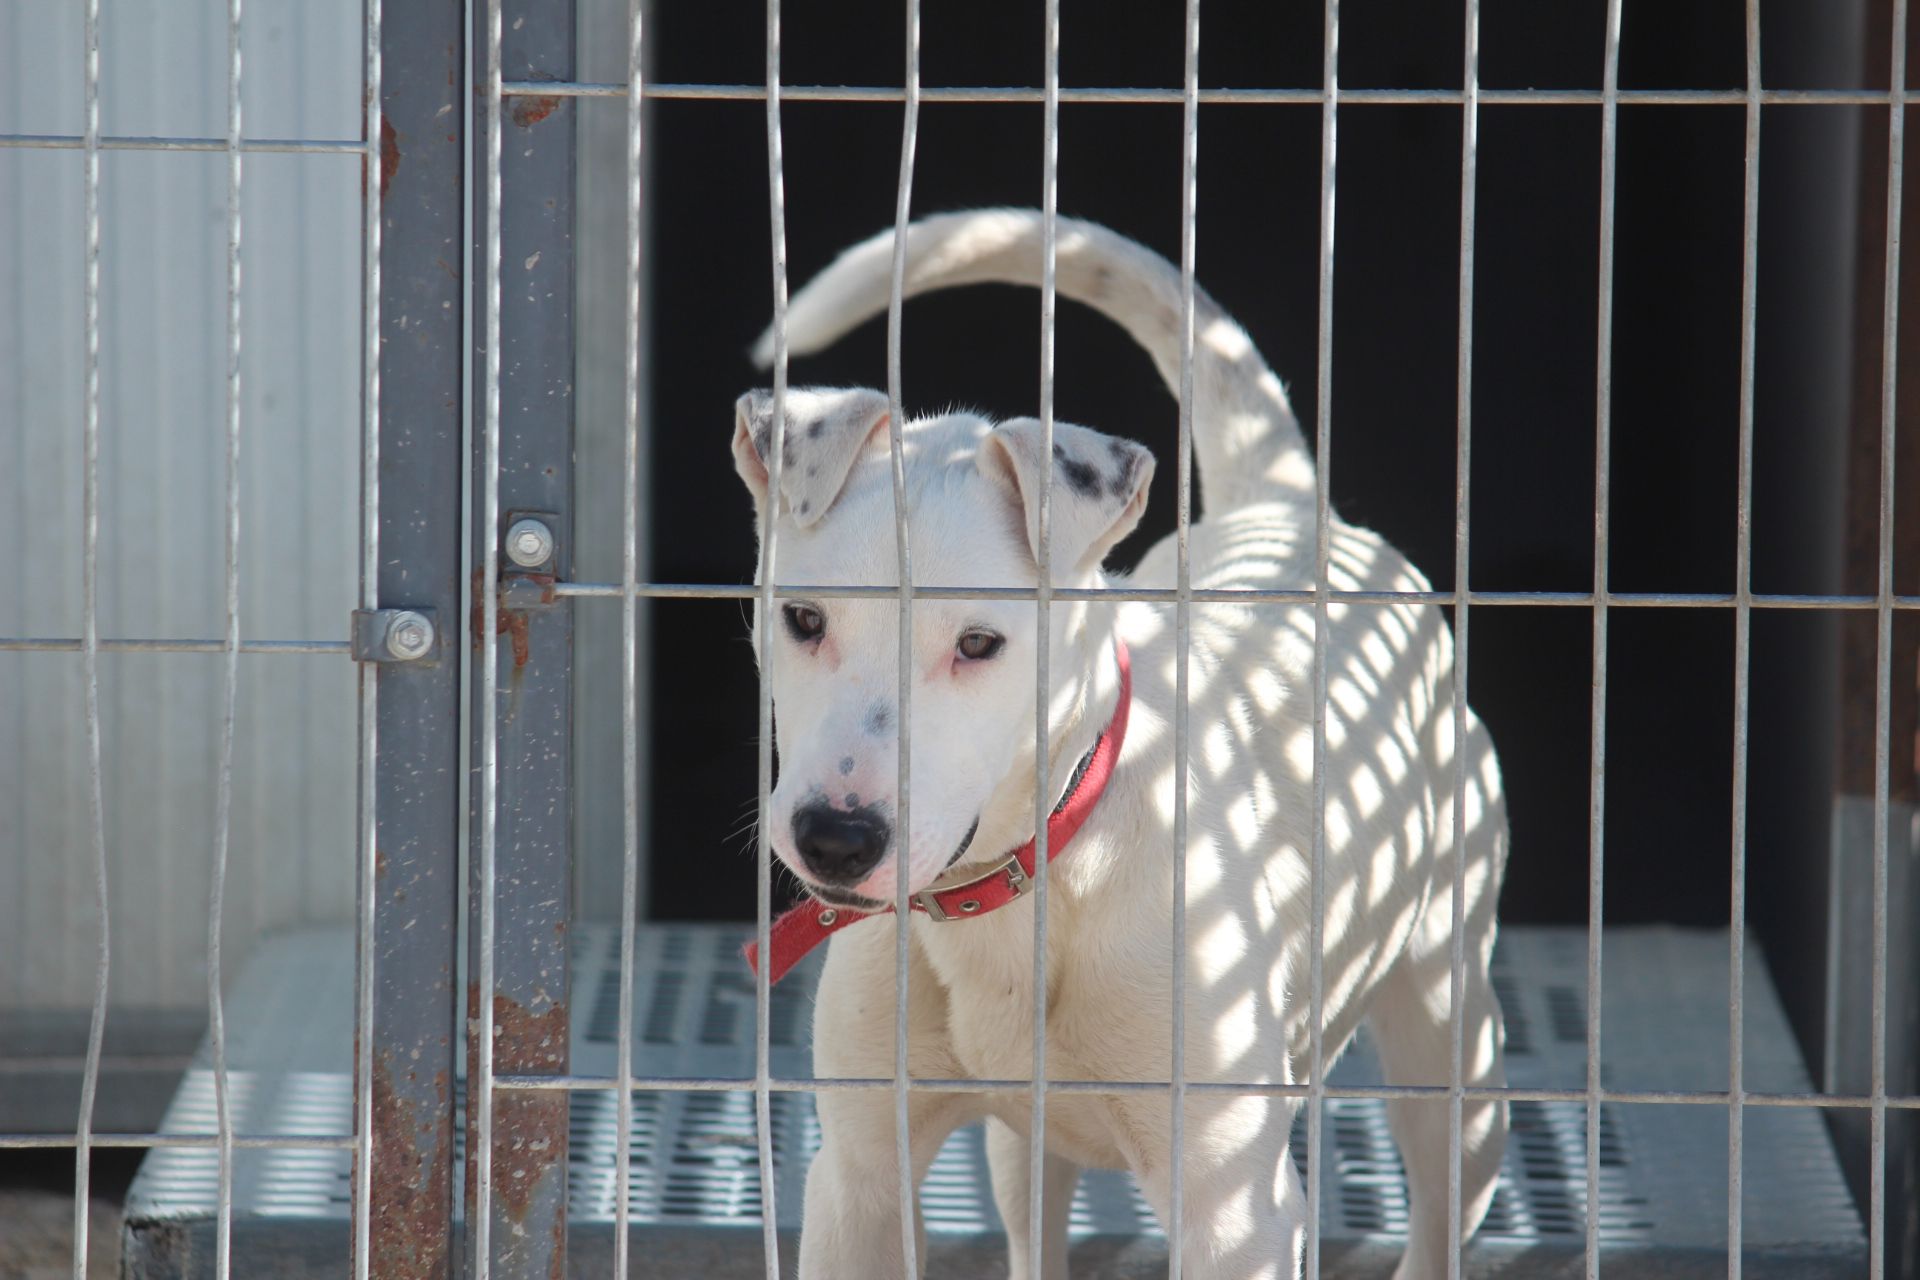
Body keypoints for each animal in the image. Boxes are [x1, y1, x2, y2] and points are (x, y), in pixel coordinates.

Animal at [725, 213, 1505, 1280]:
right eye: (803, 620)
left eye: (980, 644)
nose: (835, 840)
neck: (1026, 884)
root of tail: (1287, 512)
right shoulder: (858, 1184)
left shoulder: (1235, 1212)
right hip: (1024, 1152)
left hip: (1451, 1050)